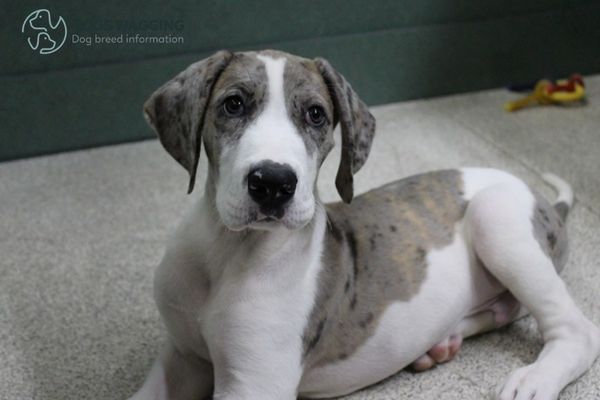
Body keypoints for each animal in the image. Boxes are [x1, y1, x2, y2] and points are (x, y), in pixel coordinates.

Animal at [129, 50, 596, 400]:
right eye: (233, 104)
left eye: (316, 115)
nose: (273, 184)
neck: (224, 251)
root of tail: (544, 201)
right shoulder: (183, 358)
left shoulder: (252, 386)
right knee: (506, 309)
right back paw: (440, 343)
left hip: (495, 218)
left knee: (579, 332)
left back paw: (534, 380)